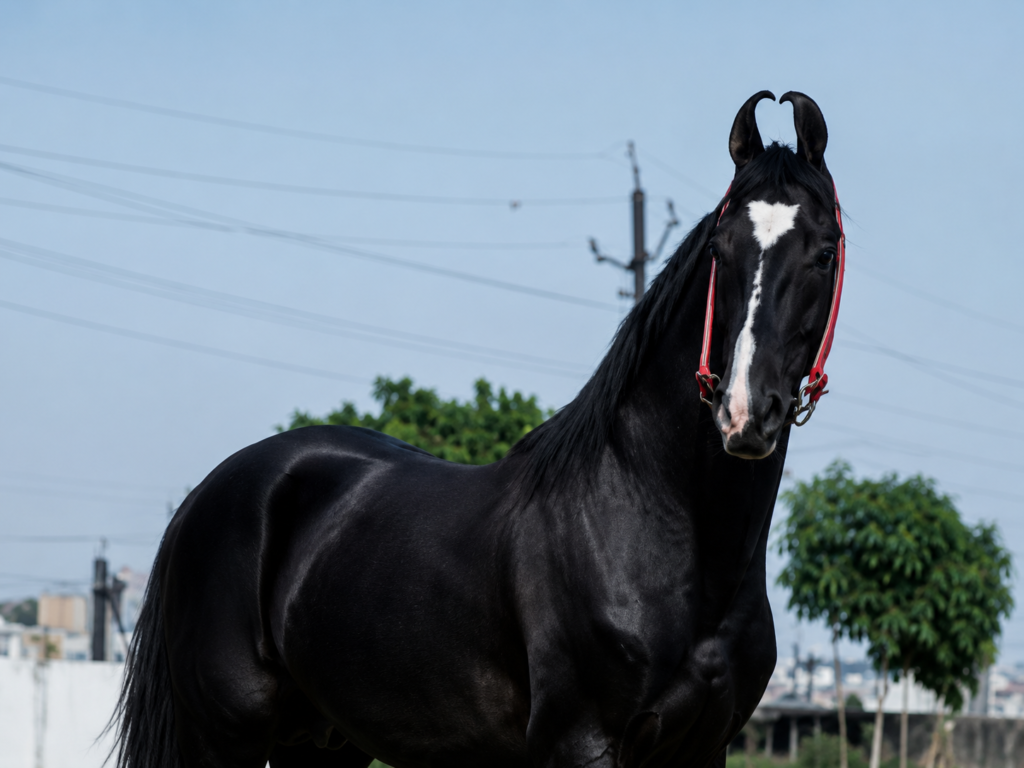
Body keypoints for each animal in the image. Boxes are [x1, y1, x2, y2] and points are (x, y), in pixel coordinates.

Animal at [111, 90, 845, 768]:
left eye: (824, 252)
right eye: (721, 249)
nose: (744, 412)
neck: (656, 527)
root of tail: (207, 496)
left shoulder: (703, 747)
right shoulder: (582, 743)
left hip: (322, 739)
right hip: (223, 739)